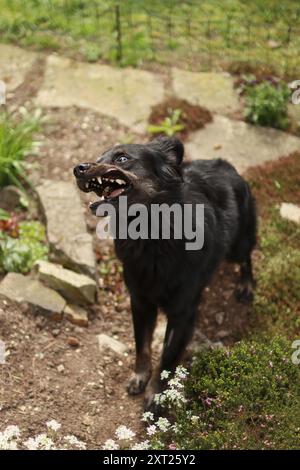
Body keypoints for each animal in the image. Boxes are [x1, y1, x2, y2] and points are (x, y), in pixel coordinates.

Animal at [73, 137, 255, 412]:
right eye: (98, 157)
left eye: (122, 158)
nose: (78, 169)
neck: (151, 235)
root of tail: (224, 164)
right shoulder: (140, 302)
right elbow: (143, 346)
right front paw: (139, 378)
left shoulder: (182, 313)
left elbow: (168, 358)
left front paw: (156, 396)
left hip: (237, 245)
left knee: (247, 257)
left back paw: (246, 286)